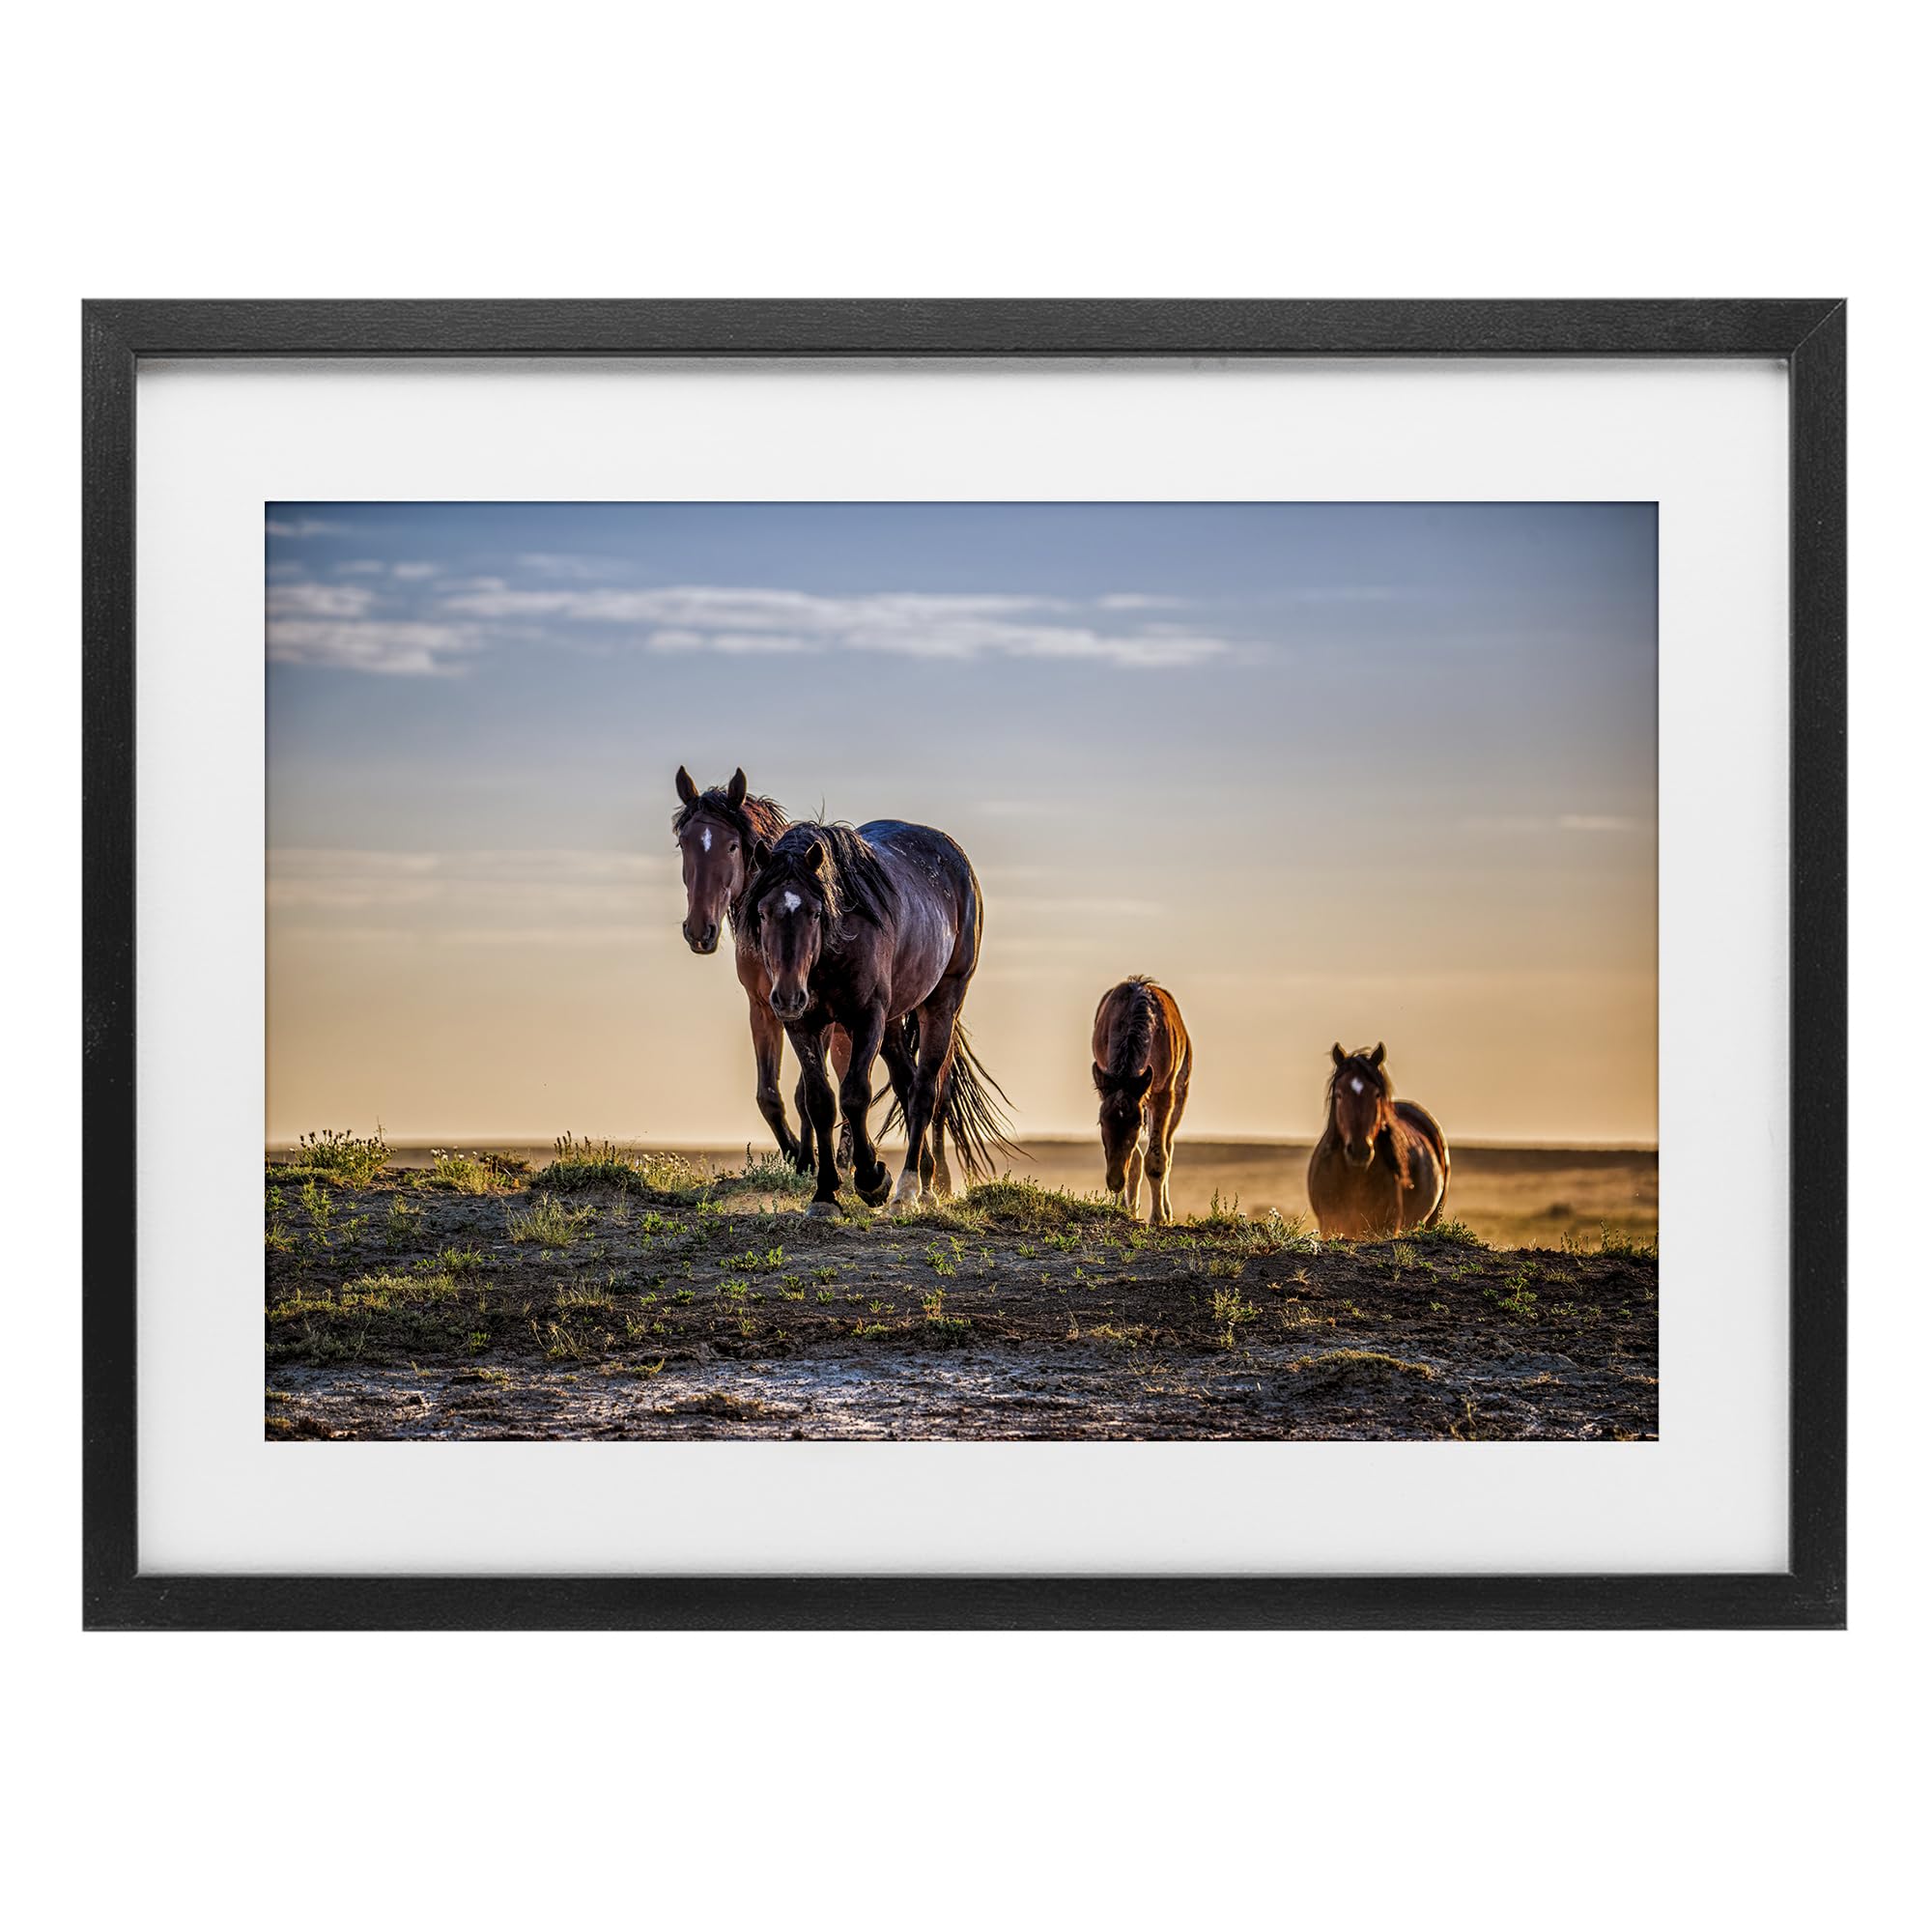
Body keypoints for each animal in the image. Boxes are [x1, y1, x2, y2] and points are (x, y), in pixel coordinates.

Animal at [672, 765, 859, 1174]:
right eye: (683, 844)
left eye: (732, 846)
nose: (699, 931)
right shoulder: (762, 1007)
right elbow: (769, 1095)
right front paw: (797, 1156)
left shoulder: (810, 1012)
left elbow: (806, 1092)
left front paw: (809, 1160)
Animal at [742, 818, 1020, 1216]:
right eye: (763, 913)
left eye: (815, 912)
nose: (788, 996)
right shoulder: (803, 1025)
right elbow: (820, 1101)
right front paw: (825, 1194)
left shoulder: (867, 1017)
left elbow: (855, 1094)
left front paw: (872, 1180)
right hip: (891, 1024)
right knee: (906, 1084)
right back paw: (925, 1182)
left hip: (942, 1002)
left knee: (924, 1092)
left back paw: (907, 1190)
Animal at [1091, 976, 1191, 1225]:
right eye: (1101, 1122)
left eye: (1136, 1124)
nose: (1115, 1181)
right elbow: (1134, 1159)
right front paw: (1124, 1208)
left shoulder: (1163, 1094)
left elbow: (1157, 1159)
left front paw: (1158, 1217)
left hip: (1180, 1094)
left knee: (1168, 1148)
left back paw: (1167, 1211)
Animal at [1306, 1043, 1449, 1239]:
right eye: (1339, 1094)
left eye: (1376, 1094)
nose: (1359, 1150)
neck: (1355, 1177)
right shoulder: (1329, 1224)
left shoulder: (1386, 1228)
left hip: (1433, 1218)